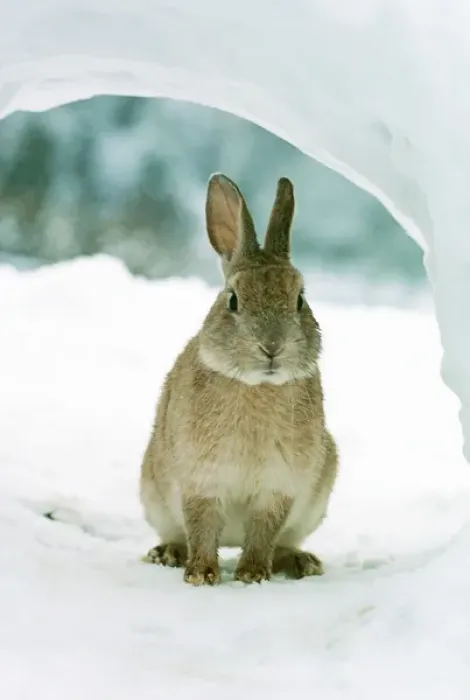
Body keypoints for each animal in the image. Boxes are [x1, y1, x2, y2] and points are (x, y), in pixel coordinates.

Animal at [140, 172, 338, 586]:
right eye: (233, 300)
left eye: (299, 299)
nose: (272, 347)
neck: (256, 385)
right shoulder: (201, 479)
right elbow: (201, 525)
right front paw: (201, 575)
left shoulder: (279, 486)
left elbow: (264, 530)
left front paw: (252, 575)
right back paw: (168, 554)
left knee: (283, 541)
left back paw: (301, 562)